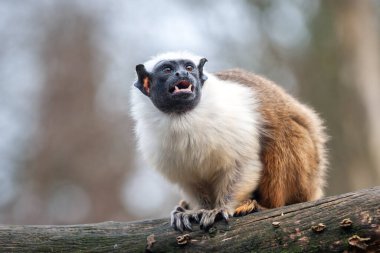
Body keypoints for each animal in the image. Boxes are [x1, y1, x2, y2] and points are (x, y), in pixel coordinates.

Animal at [130, 51, 326, 231]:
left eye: (189, 68)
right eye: (168, 70)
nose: (182, 74)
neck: (182, 117)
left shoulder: (232, 120)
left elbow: (243, 165)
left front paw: (222, 208)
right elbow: (191, 180)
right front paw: (198, 210)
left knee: (283, 133)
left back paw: (262, 206)